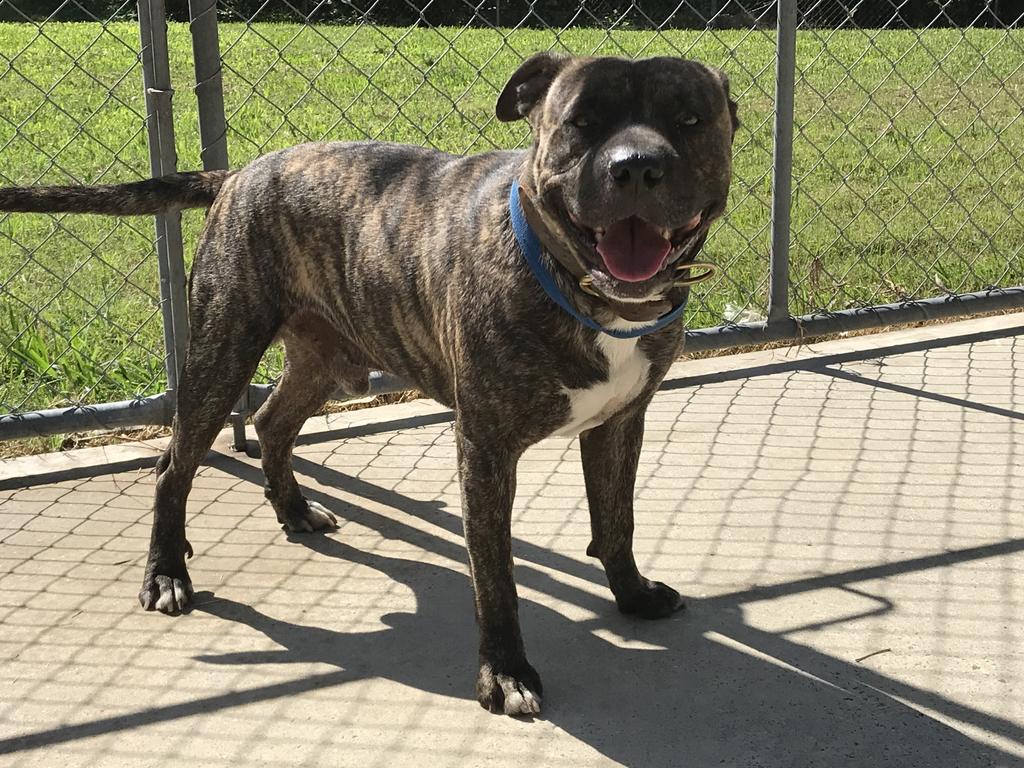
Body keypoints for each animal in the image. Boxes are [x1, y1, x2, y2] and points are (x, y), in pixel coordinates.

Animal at [0, 52, 737, 716]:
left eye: (689, 120)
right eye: (581, 123)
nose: (635, 166)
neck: (585, 291)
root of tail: (238, 173)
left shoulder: (621, 422)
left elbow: (617, 520)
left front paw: (632, 595)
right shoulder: (486, 450)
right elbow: (495, 576)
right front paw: (506, 673)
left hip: (322, 360)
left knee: (270, 423)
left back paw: (294, 509)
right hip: (220, 353)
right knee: (173, 467)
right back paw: (166, 574)